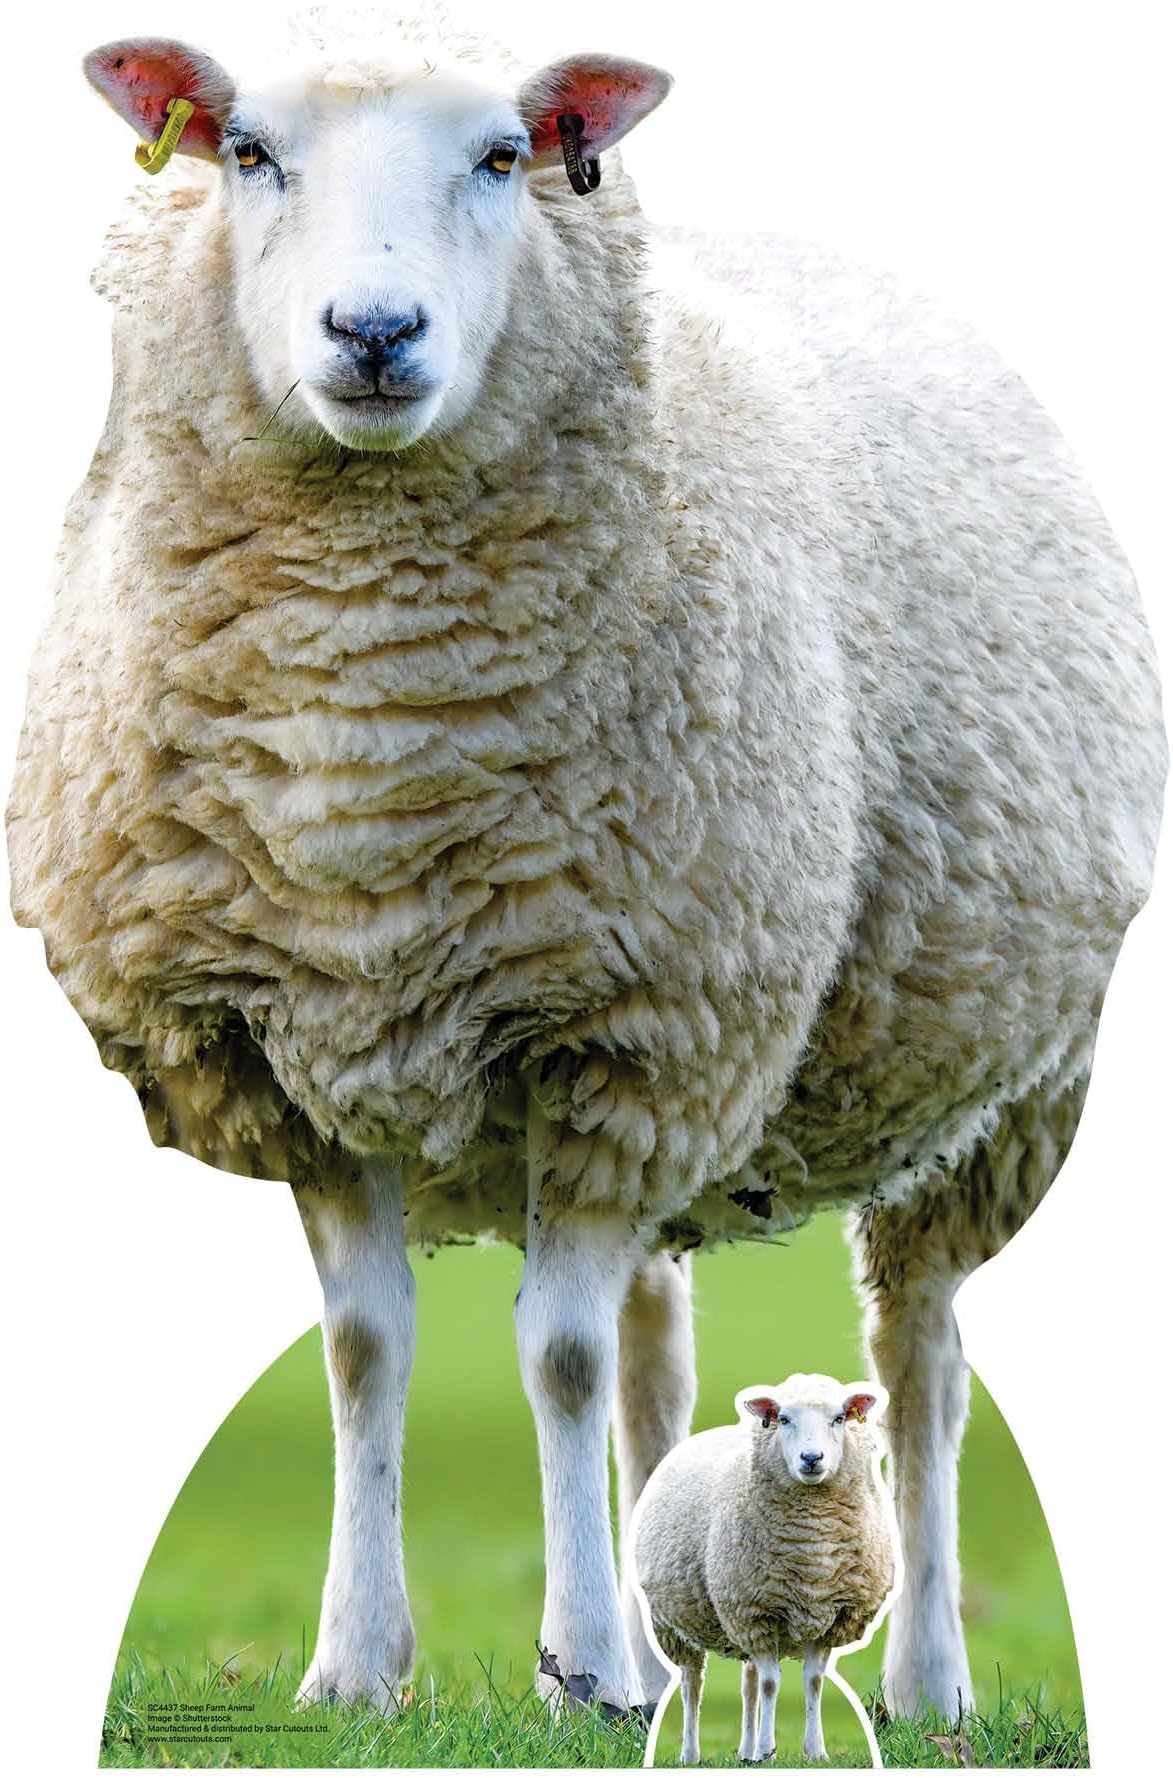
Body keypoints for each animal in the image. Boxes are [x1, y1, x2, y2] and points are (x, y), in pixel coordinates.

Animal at [6, 0, 1166, 1724]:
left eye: (504, 156)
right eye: (246, 151)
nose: (373, 331)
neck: (369, 749)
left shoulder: (630, 1036)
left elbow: (551, 1358)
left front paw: (585, 1665)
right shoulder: (291, 1053)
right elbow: (367, 1347)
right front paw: (357, 1668)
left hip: (1003, 1093)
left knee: (922, 1357)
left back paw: (924, 1678)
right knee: (659, 1362)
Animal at [632, 1374, 898, 1764]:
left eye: (839, 1418)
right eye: (783, 1419)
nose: (811, 1458)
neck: (812, 1552)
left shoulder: (828, 1618)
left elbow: (813, 1681)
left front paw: (814, 1751)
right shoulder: (756, 1613)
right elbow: (773, 1684)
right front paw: (768, 1749)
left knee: (749, 1684)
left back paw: (745, 1751)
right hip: (673, 1625)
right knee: (692, 1684)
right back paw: (692, 1753)